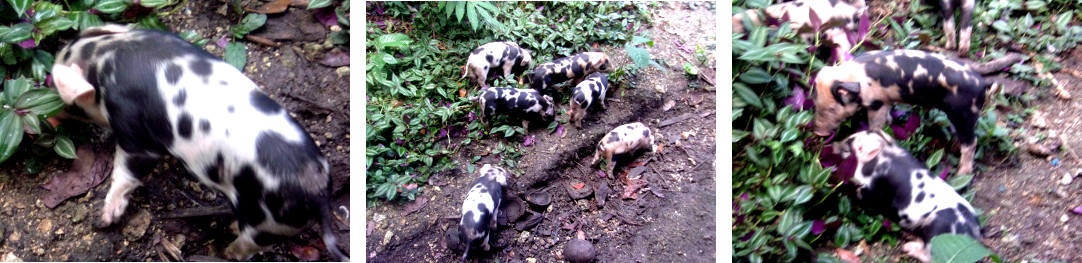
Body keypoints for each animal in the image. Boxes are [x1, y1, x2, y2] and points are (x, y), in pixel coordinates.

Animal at [50, 24, 346, 260]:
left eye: (72, 105)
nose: (51, 118)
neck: (106, 55)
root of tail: (320, 195)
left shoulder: (134, 131)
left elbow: (127, 171)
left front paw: (105, 218)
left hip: (268, 224)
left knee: (251, 246)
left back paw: (226, 250)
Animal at [813, 49, 991, 176]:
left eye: (832, 108)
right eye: (816, 103)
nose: (818, 132)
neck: (857, 79)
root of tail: (982, 84)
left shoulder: (877, 103)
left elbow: (876, 125)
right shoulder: (886, 101)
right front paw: (891, 121)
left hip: (964, 113)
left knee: (971, 142)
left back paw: (961, 174)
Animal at [835, 130, 982, 261]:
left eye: (849, 146)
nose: (834, 145)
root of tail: (972, 234)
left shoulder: (871, 188)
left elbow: (863, 196)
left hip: (937, 230)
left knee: (930, 257)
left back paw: (909, 247)